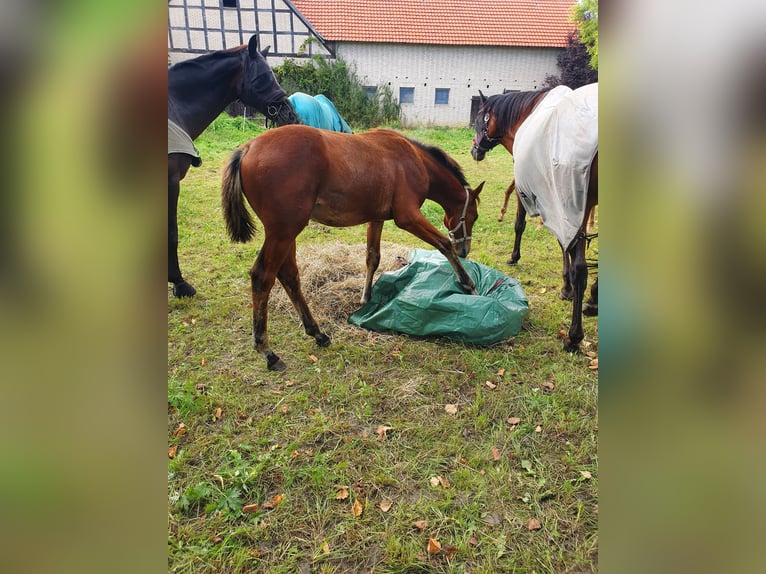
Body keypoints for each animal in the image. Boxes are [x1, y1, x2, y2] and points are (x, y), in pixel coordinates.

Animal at [224, 124, 486, 372]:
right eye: (474, 216)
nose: (465, 250)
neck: (414, 158)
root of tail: (248, 148)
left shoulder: (377, 218)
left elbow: (373, 257)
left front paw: (366, 298)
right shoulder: (408, 217)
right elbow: (444, 244)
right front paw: (468, 285)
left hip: (286, 234)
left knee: (289, 276)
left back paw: (317, 333)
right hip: (284, 232)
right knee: (263, 277)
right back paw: (267, 351)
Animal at [474, 83, 600, 354]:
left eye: (479, 120)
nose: (474, 150)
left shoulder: (541, 195)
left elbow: (520, 224)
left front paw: (514, 257)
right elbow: (564, 245)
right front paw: (567, 287)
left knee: (582, 269)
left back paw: (574, 336)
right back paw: (593, 299)